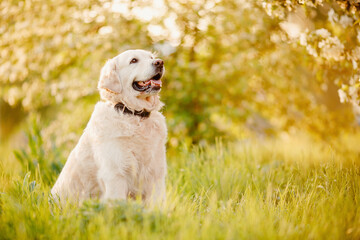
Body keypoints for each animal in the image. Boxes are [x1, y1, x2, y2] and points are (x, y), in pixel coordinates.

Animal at [50, 49, 167, 204]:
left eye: (152, 57)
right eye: (133, 60)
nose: (159, 62)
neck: (134, 115)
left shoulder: (155, 174)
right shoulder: (115, 174)